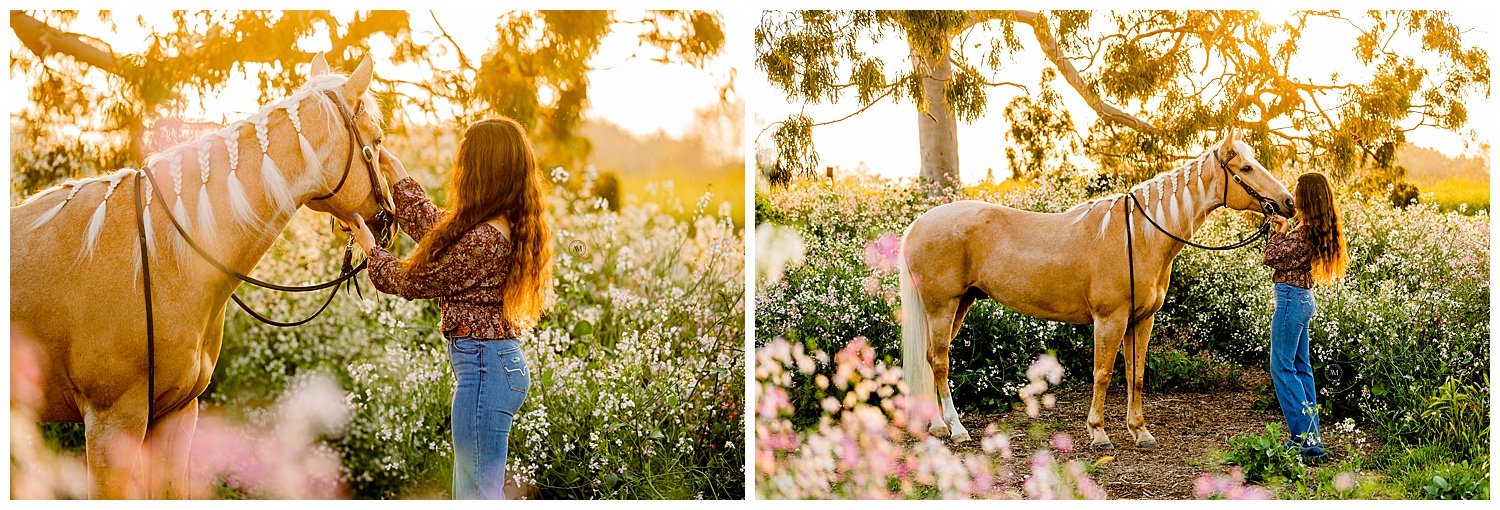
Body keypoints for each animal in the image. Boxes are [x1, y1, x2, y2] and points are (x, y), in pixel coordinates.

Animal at [894, 133, 1296, 447]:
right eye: (1246, 168)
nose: (1288, 202)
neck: (1140, 235)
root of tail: (918, 223)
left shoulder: (1141, 321)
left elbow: (1136, 374)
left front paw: (1140, 432)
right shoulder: (1110, 319)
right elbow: (1103, 373)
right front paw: (1099, 433)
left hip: (959, 305)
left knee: (930, 360)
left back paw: (937, 426)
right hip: (942, 306)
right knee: (940, 362)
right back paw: (956, 429)